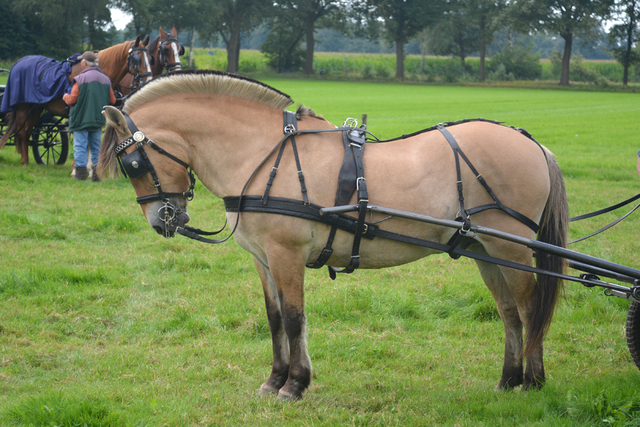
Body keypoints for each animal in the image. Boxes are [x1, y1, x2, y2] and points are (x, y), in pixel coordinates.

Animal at [0, 35, 154, 164]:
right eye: (137, 59)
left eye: (150, 58)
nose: (148, 81)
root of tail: (19, 62)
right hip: (22, 108)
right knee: (22, 133)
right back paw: (24, 161)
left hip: (36, 109)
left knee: (28, 131)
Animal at [100, 70, 568, 402]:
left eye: (133, 164)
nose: (163, 220)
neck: (261, 155)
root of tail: (531, 142)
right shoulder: (263, 258)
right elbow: (275, 319)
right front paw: (275, 380)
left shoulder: (286, 253)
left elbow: (294, 317)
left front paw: (294, 385)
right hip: (483, 249)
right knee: (508, 312)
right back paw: (508, 379)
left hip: (511, 246)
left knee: (530, 309)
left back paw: (534, 379)